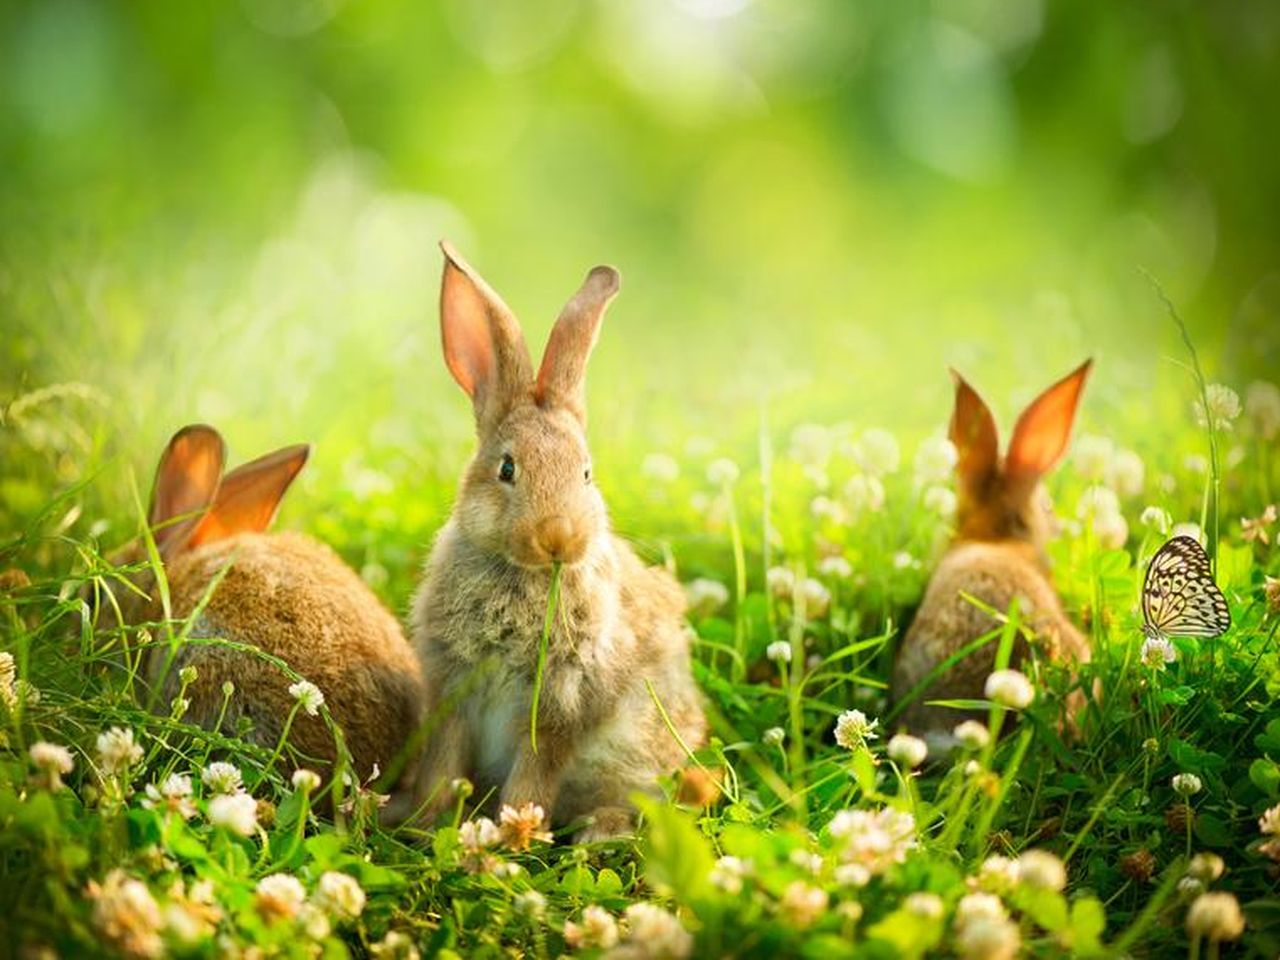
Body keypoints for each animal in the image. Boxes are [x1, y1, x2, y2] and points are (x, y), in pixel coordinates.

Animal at [407, 241, 711, 839]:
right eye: (507, 469)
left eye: (587, 474)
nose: (559, 537)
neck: (524, 576)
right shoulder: (451, 687)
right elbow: (444, 763)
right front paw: (428, 822)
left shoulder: (560, 707)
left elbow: (534, 775)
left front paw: (514, 834)